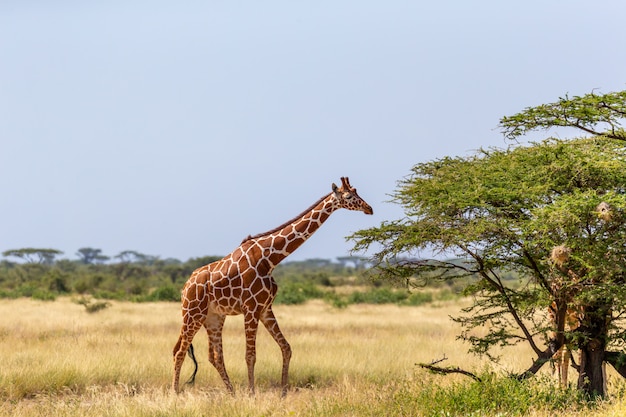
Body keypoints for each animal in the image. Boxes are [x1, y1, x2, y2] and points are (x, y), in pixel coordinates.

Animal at [172, 177, 370, 394]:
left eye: (357, 191)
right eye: (349, 196)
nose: (369, 208)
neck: (269, 258)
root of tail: (185, 287)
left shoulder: (265, 308)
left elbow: (286, 347)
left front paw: (283, 391)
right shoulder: (251, 308)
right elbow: (250, 355)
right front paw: (251, 393)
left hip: (214, 317)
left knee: (214, 356)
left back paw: (231, 393)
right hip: (192, 314)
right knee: (179, 351)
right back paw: (175, 392)